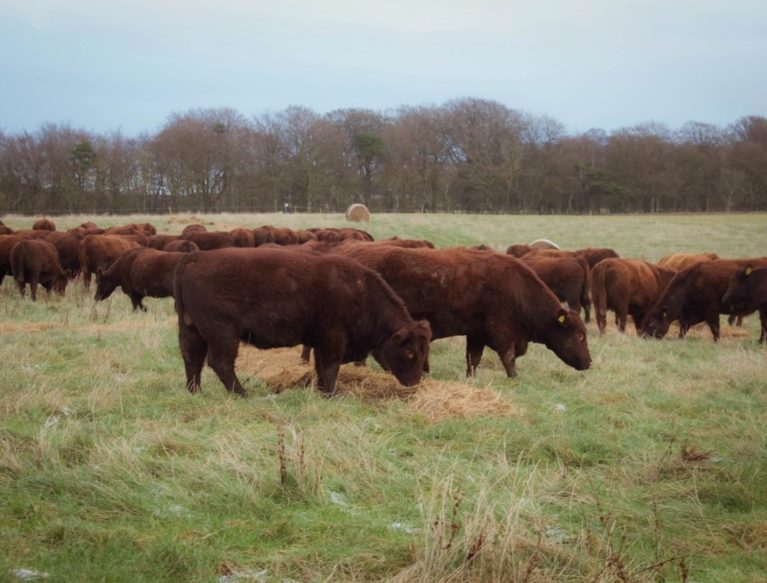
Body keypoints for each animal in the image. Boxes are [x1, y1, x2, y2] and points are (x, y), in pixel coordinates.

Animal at [175, 246, 436, 396]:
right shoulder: (332, 339)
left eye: (425, 351)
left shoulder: (321, 341)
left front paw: (321, 390)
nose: (415, 382)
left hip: (191, 329)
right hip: (224, 334)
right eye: (410, 352)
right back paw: (242, 393)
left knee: (192, 358)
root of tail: (195, 258)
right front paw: (332, 393)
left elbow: (321, 367)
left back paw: (195, 391)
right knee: (220, 363)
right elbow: (330, 367)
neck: (361, 293)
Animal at [332, 246, 592, 378]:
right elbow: (508, 359)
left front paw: (471, 378)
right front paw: (514, 379)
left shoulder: (476, 333)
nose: (588, 362)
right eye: (580, 335)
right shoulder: (502, 333)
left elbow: (473, 359)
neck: (518, 288)